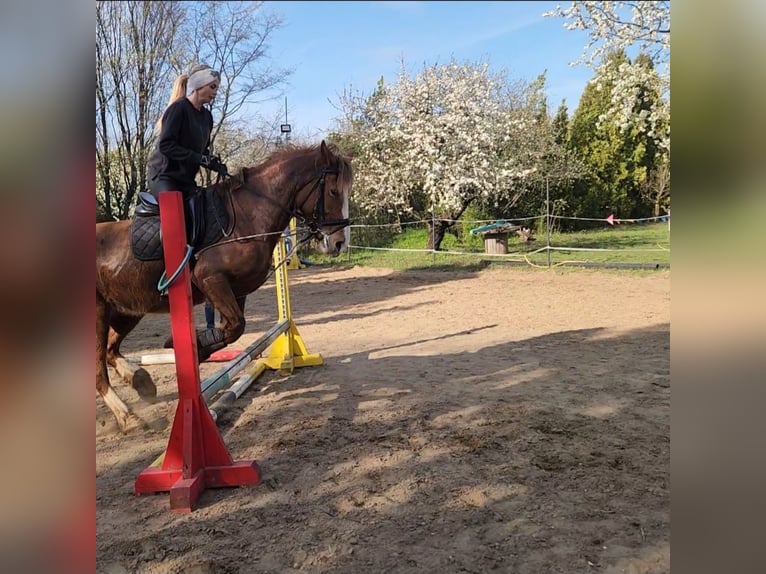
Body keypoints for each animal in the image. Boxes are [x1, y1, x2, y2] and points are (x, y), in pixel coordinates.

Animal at [96, 141, 352, 432]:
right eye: (333, 191)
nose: (339, 244)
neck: (249, 215)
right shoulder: (211, 279)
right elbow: (235, 326)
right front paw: (185, 344)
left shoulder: (235, 290)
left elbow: (232, 329)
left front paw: (198, 347)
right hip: (100, 312)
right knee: (98, 368)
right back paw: (126, 415)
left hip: (127, 310)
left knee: (111, 351)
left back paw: (141, 382)